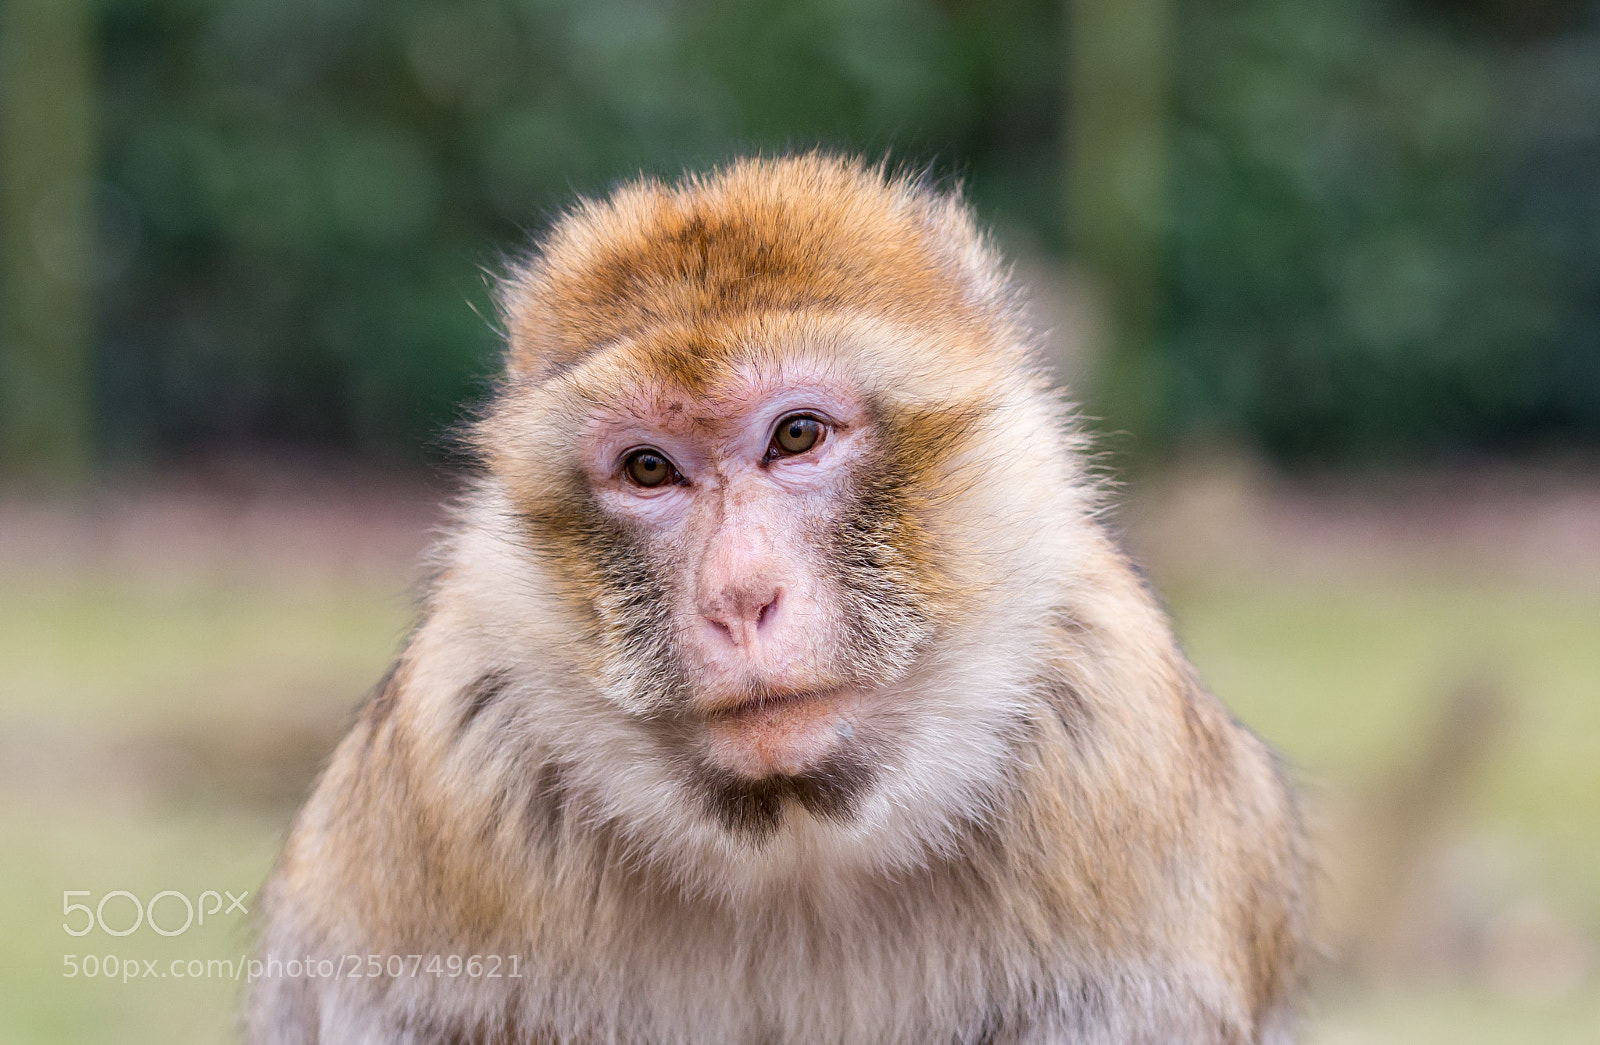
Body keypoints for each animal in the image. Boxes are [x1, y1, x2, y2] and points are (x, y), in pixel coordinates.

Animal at [245, 154, 1308, 1045]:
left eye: (797, 435)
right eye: (648, 468)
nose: (738, 596)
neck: (798, 845)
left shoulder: (1114, 767)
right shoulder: (452, 788)